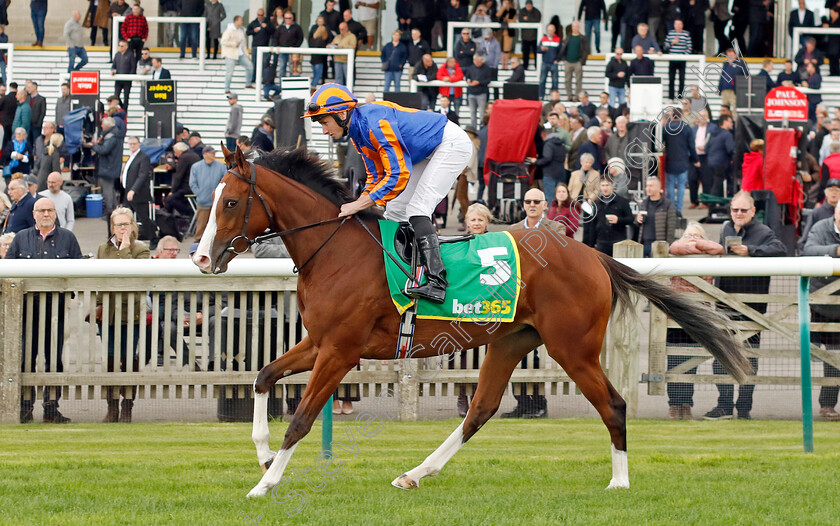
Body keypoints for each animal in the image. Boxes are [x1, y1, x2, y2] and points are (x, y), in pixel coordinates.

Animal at [192, 147, 756, 500]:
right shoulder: (320, 341)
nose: (200, 258)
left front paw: (265, 484)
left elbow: (303, 419)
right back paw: (415, 473)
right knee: (480, 410)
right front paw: (263, 455)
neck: (336, 249)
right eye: (209, 199)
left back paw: (619, 482)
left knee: (612, 404)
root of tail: (595, 256)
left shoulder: (341, 350)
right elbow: (263, 375)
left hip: (572, 348)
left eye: (232, 201)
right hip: (510, 342)